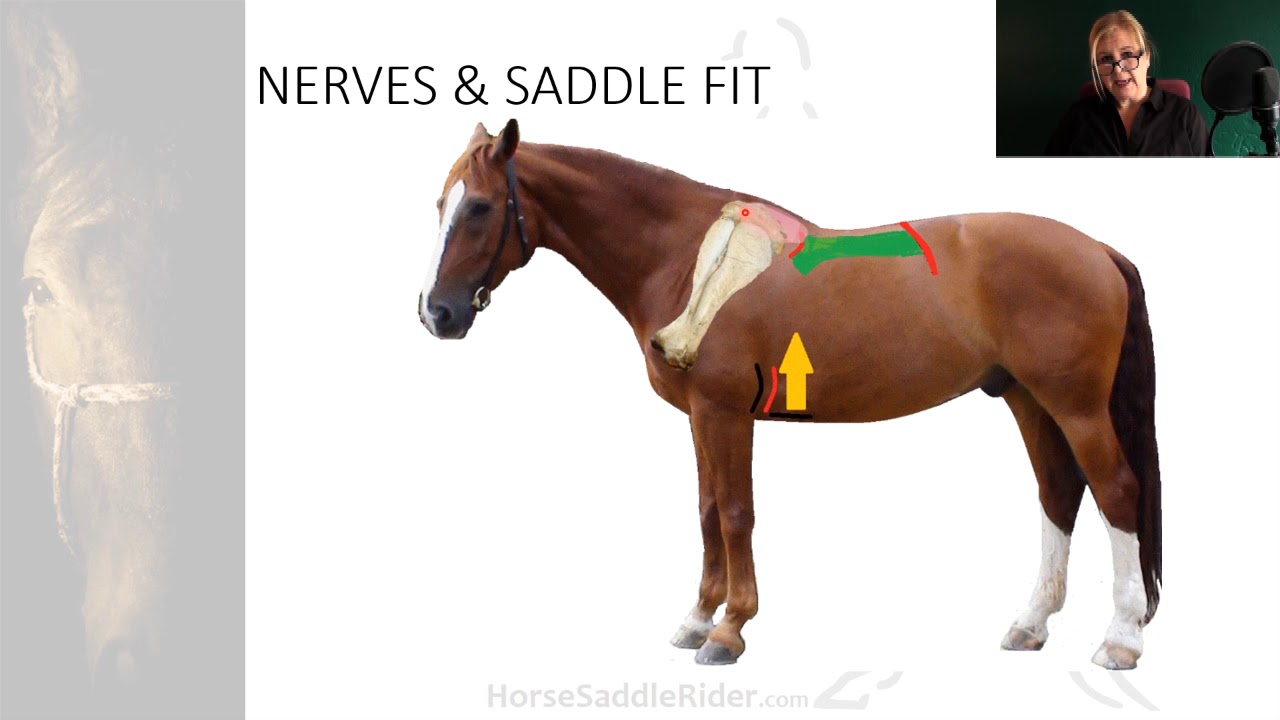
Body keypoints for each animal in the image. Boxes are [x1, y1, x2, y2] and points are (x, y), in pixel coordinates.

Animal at [419, 119, 1161, 670]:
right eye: (440, 206)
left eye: (480, 207)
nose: (436, 314)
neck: (687, 260)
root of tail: (1098, 249)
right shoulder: (699, 418)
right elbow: (706, 511)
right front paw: (697, 618)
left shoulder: (725, 414)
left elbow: (735, 514)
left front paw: (729, 630)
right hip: (1028, 399)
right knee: (1059, 492)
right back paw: (1031, 623)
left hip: (1076, 407)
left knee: (1116, 492)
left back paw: (1121, 639)